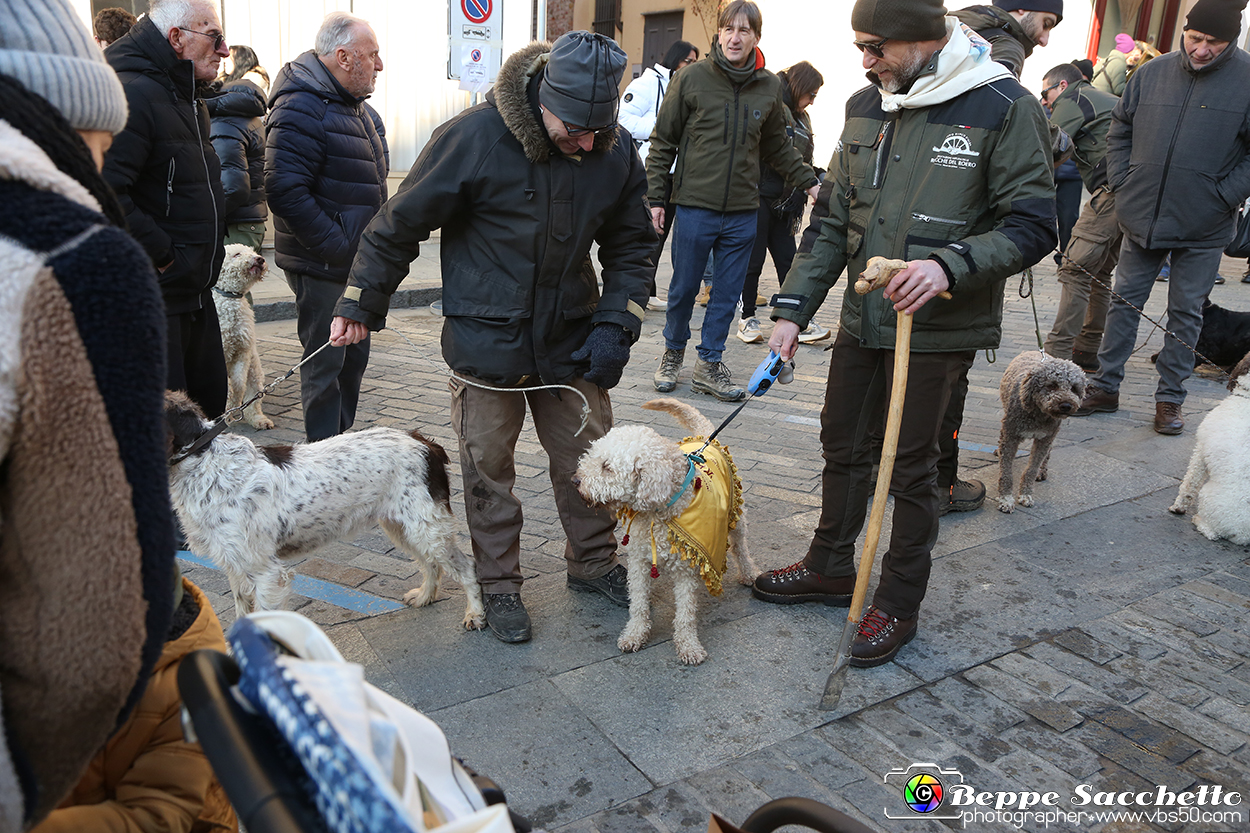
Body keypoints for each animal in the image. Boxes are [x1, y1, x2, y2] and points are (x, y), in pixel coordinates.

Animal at [161, 390, 482, 622]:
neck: (202, 459)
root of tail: (425, 442)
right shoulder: (235, 564)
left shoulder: (265, 572)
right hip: (402, 525)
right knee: (430, 563)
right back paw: (425, 596)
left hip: (426, 525)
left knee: (466, 567)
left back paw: (475, 614)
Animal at [213, 241, 275, 427]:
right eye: (237, 254)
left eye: (253, 251)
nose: (260, 259)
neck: (228, 297)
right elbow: (227, 387)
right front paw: (228, 406)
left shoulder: (243, 351)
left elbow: (239, 385)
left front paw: (233, 405)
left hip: (255, 371)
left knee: (253, 400)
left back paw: (259, 420)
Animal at [572, 395, 755, 660]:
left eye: (606, 467)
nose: (575, 480)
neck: (658, 515)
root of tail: (703, 437)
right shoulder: (638, 563)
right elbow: (638, 605)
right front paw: (634, 635)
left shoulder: (686, 570)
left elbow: (686, 614)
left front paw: (688, 645)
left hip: (737, 516)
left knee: (741, 547)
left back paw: (749, 573)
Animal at [995, 347, 1085, 510]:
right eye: (1052, 385)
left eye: (1074, 388)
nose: (1066, 405)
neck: (1038, 413)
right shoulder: (1010, 435)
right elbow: (1006, 471)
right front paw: (1006, 498)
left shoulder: (1045, 438)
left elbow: (1031, 469)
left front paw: (1025, 494)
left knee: (1047, 454)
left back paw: (1042, 471)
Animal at [1165, 347, 1250, 542]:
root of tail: (1242, 536)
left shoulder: (1200, 450)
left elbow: (1189, 483)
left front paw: (1178, 508)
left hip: (1206, 496)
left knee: (1212, 533)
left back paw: (1198, 520)